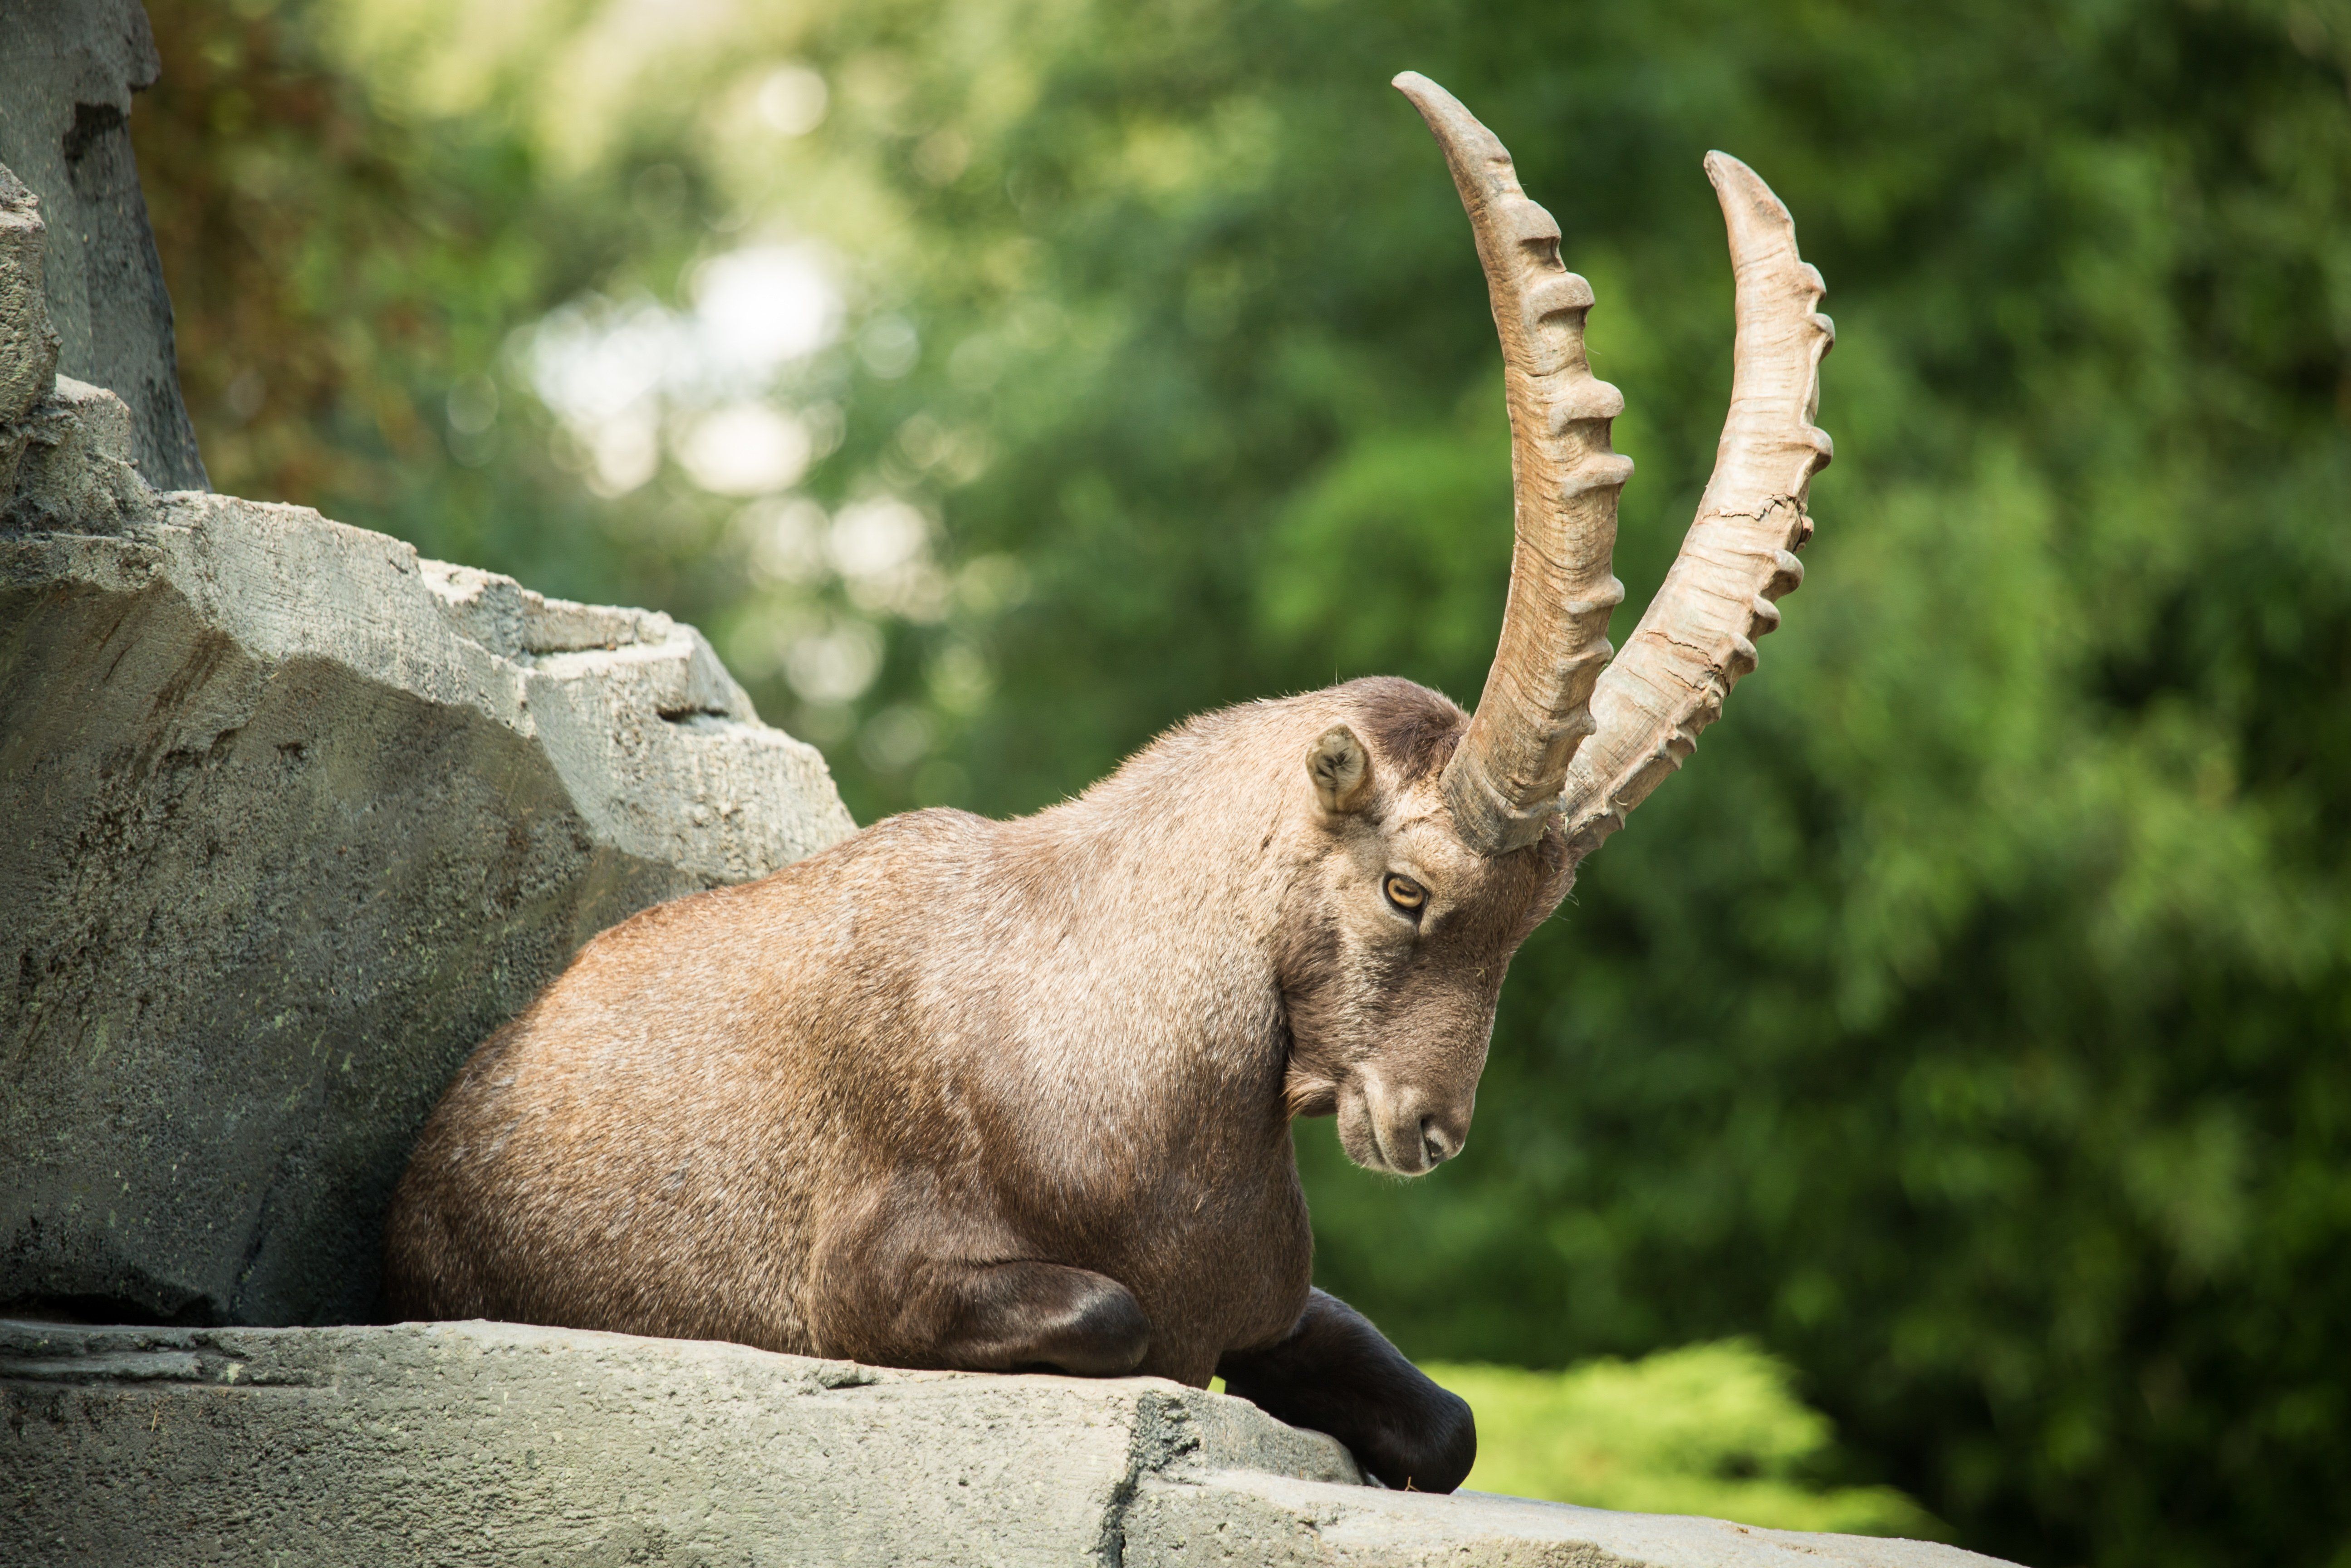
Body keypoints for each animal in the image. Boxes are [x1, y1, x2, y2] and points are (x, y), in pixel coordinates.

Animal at [383, 73, 1834, 1494]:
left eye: (1535, 920)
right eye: (1407, 890)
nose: (1424, 1127)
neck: (1111, 1022)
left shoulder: (1269, 1301)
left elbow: (1448, 1424)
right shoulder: (865, 1278)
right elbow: (1115, 1314)